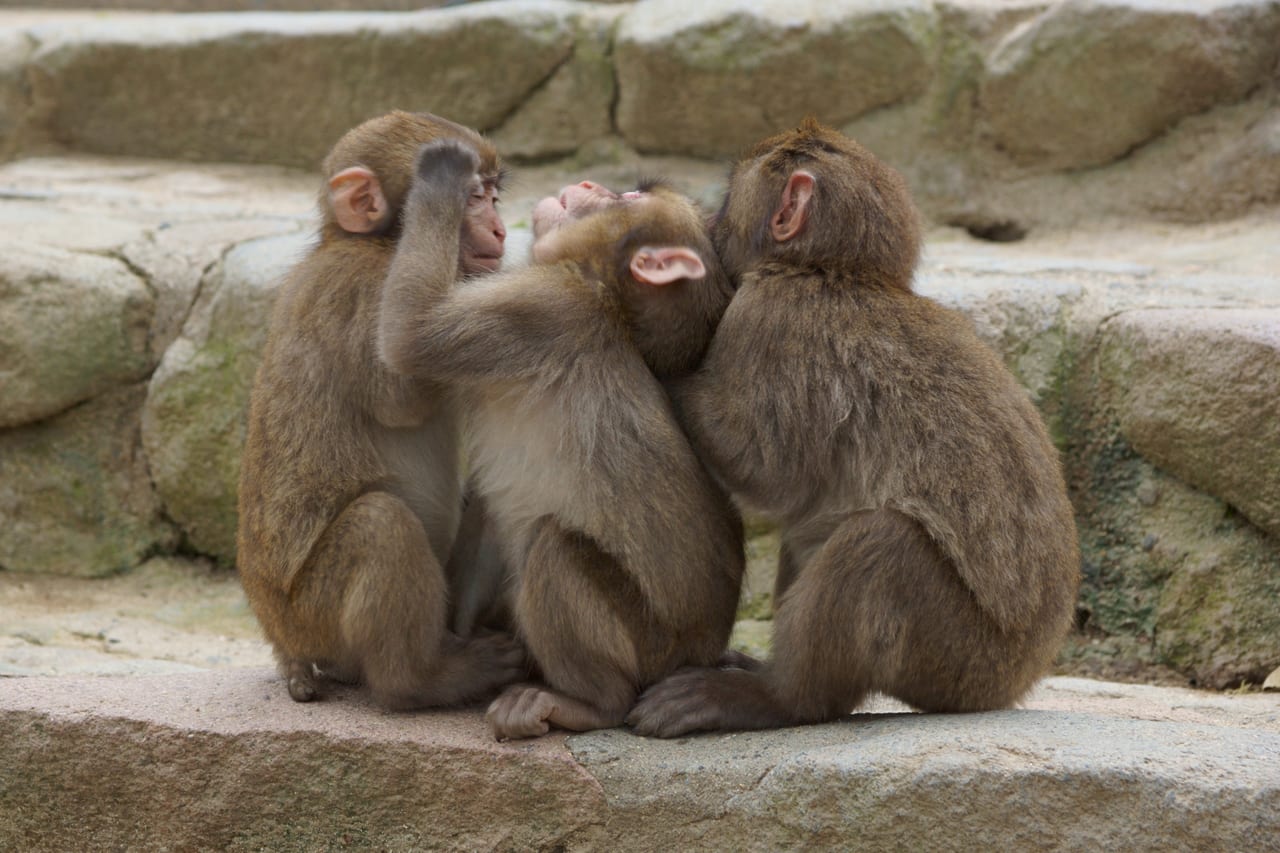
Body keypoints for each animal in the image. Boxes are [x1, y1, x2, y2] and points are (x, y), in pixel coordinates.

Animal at [238, 112, 522, 712]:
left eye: (493, 194)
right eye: (473, 198)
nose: (501, 231)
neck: (378, 244)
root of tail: (280, 637)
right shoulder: (360, 290)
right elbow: (402, 392)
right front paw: (437, 185)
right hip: (314, 616)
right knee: (380, 523)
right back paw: (421, 680)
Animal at [373, 139, 747, 737]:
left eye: (629, 198)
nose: (593, 185)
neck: (604, 292)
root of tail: (700, 649)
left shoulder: (543, 307)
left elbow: (411, 334)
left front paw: (443, 174)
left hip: (647, 644)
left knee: (555, 546)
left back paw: (591, 702)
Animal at [624, 116, 1085, 732]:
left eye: (725, 201)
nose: (711, 224)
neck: (839, 272)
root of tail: (1014, 683)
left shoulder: (772, 315)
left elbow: (765, 468)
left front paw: (664, 366)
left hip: (958, 653)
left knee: (879, 544)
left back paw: (779, 697)